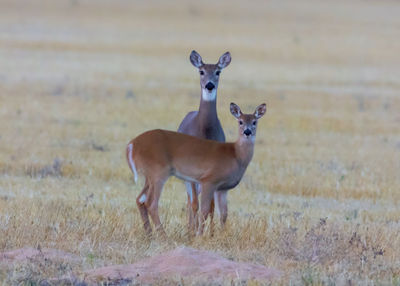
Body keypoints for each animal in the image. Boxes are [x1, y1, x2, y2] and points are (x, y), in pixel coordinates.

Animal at [126, 101, 268, 236]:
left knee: (140, 199)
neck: (236, 155)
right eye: (240, 121)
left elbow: (224, 214)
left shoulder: (223, 189)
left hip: (150, 175)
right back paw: (163, 235)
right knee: (151, 203)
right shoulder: (209, 180)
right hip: (159, 172)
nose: (247, 132)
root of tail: (132, 144)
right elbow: (204, 210)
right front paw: (200, 235)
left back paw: (150, 234)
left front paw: (222, 235)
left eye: (254, 122)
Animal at [178, 49, 231, 232]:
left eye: (218, 72)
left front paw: (210, 233)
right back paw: (190, 229)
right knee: (189, 202)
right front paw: (195, 232)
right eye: (201, 71)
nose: (209, 85)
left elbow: (211, 207)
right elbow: (195, 204)